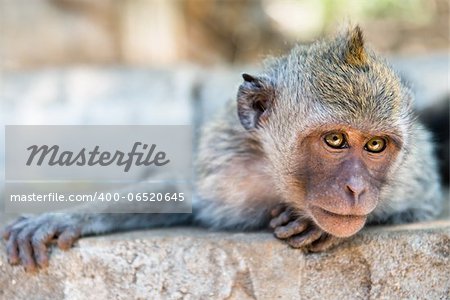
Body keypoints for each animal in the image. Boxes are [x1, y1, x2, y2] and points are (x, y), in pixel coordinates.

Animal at [0, 27, 442, 274]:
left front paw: (315, 225)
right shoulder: (226, 169)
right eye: (334, 140)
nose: (356, 189)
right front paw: (68, 216)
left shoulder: (408, 175)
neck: (277, 176)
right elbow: (180, 196)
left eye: (375, 145)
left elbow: (427, 202)